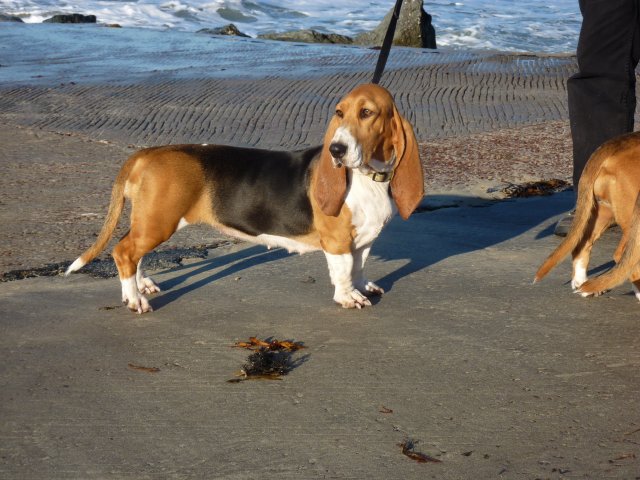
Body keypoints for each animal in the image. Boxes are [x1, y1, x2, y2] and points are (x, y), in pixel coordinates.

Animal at [65, 84, 424, 314]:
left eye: (367, 112)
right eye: (339, 112)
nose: (336, 150)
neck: (367, 178)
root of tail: (148, 153)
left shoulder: (363, 239)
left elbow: (359, 266)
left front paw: (362, 287)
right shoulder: (337, 241)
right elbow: (344, 271)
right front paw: (348, 297)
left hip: (149, 220)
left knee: (132, 251)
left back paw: (143, 286)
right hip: (159, 222)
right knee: (124, 252)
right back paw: (135, 299)